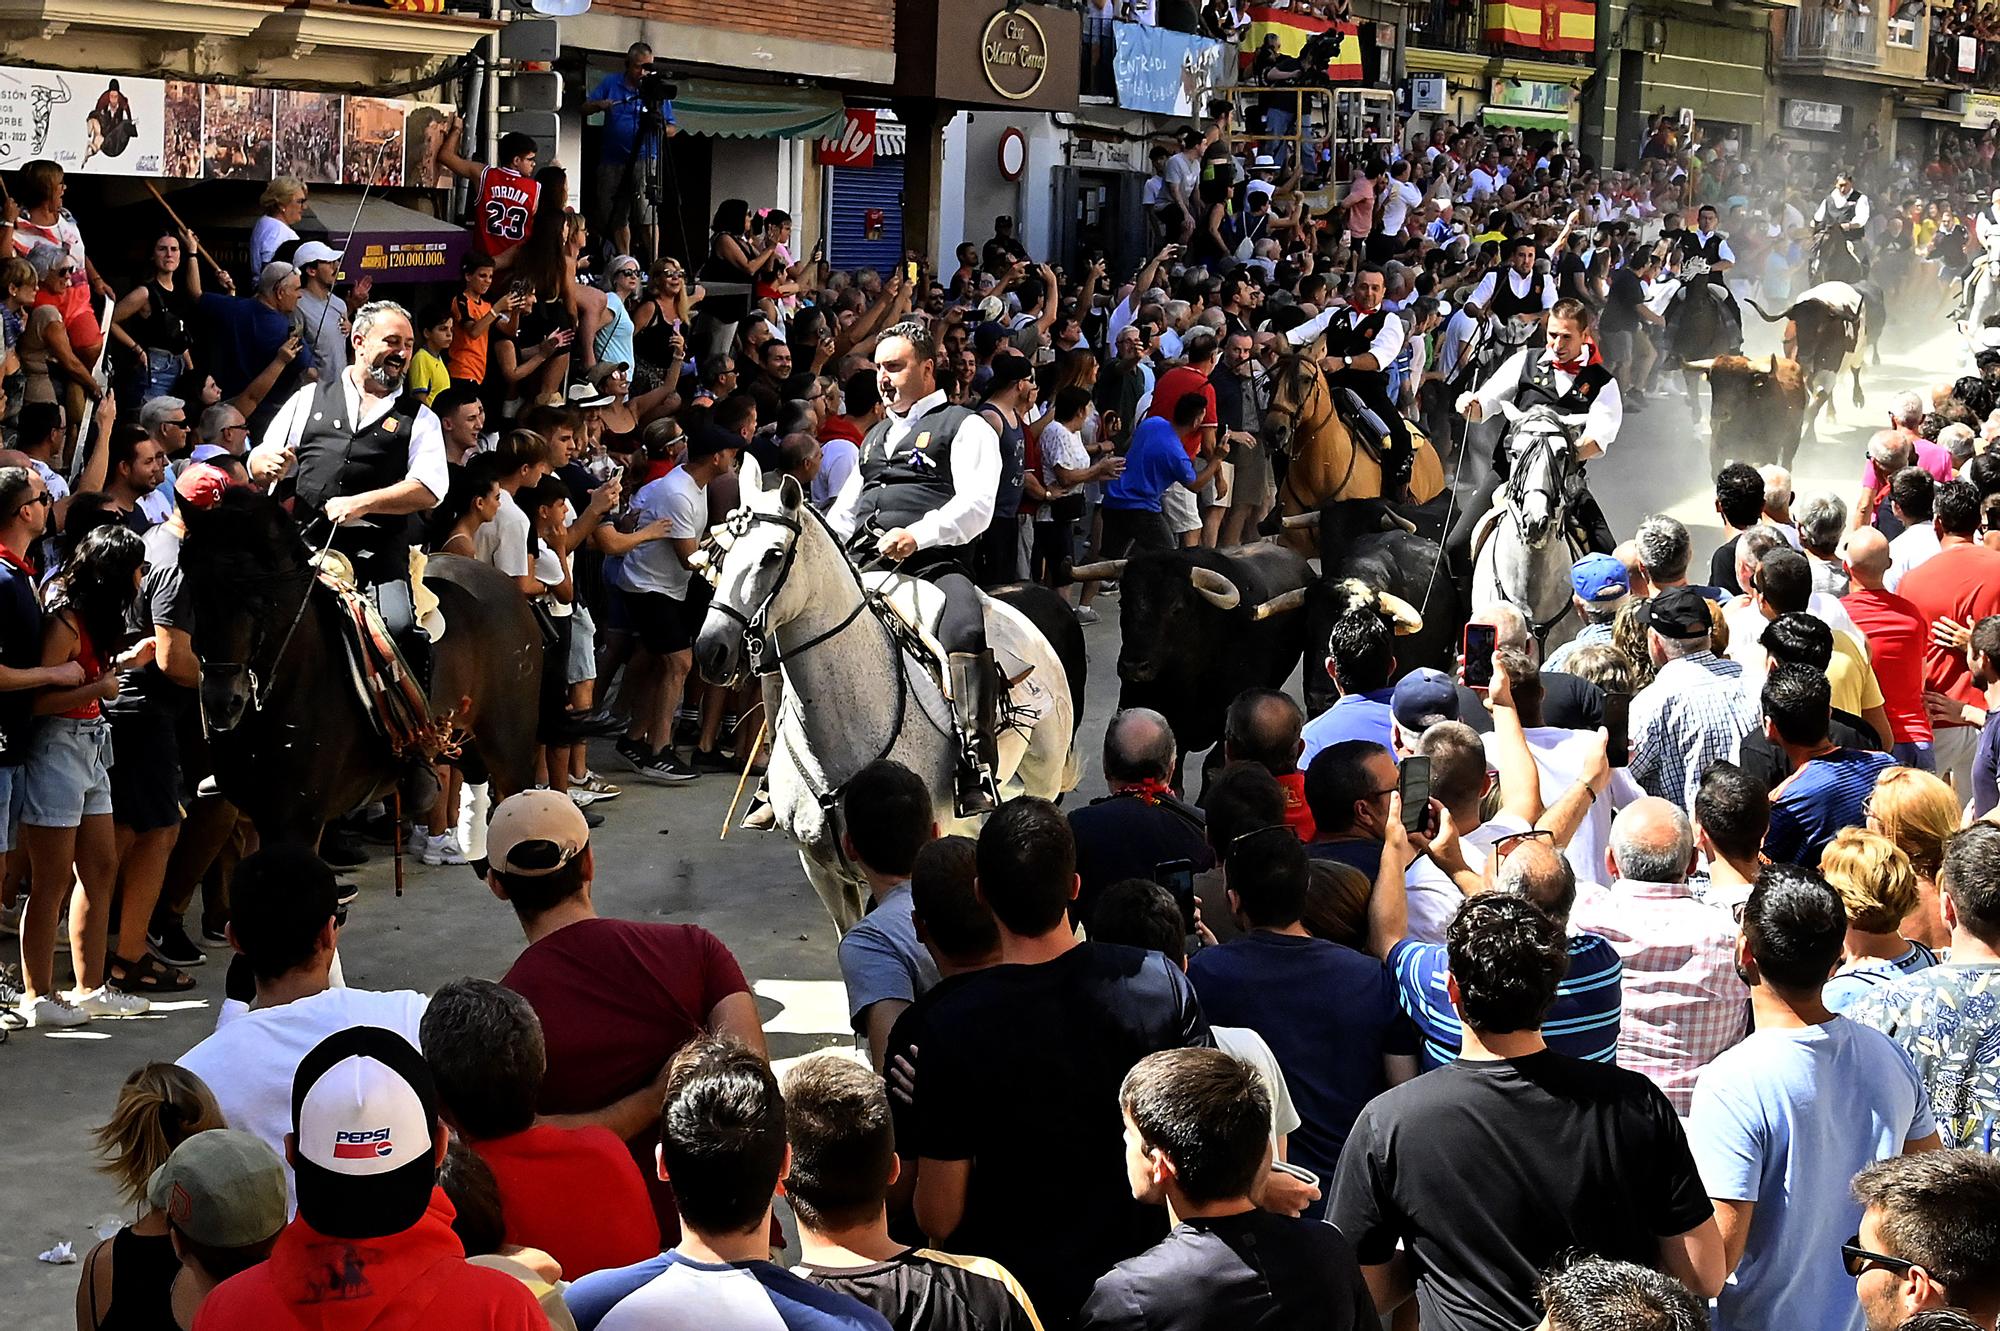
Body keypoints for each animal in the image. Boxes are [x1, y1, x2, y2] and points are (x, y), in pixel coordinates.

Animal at [179, 489, 536, 851]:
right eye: (195, 589)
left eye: (261, 597)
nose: (223, 702)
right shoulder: (266, 818)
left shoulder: (298, 823)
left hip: (511, 754)